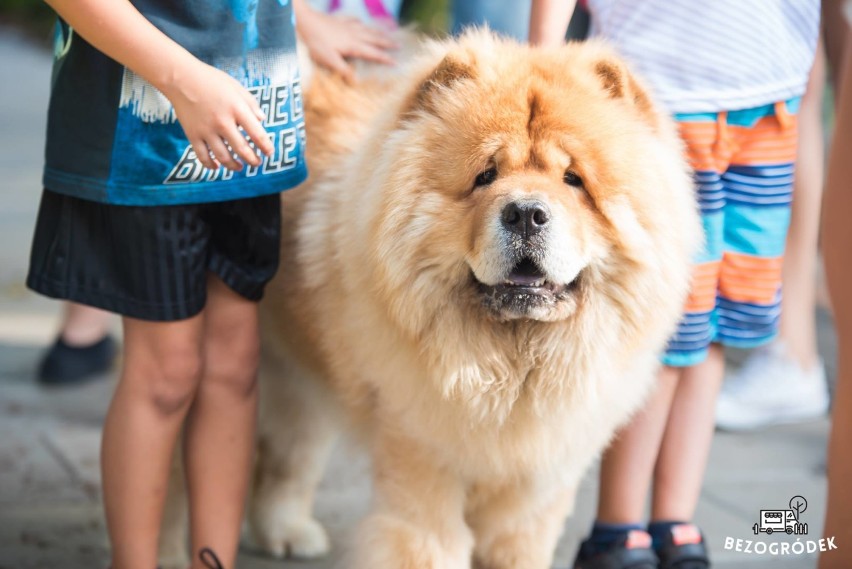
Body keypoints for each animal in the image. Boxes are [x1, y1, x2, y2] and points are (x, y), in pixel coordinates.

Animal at [163, 30, 704, 568]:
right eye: (486, 175)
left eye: (574, 180)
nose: (526, 213)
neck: (513, 369)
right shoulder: (422, 453)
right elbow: (428, 543)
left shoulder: (539, 485)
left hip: (301, 377)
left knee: (287, 454)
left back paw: (288, 532)